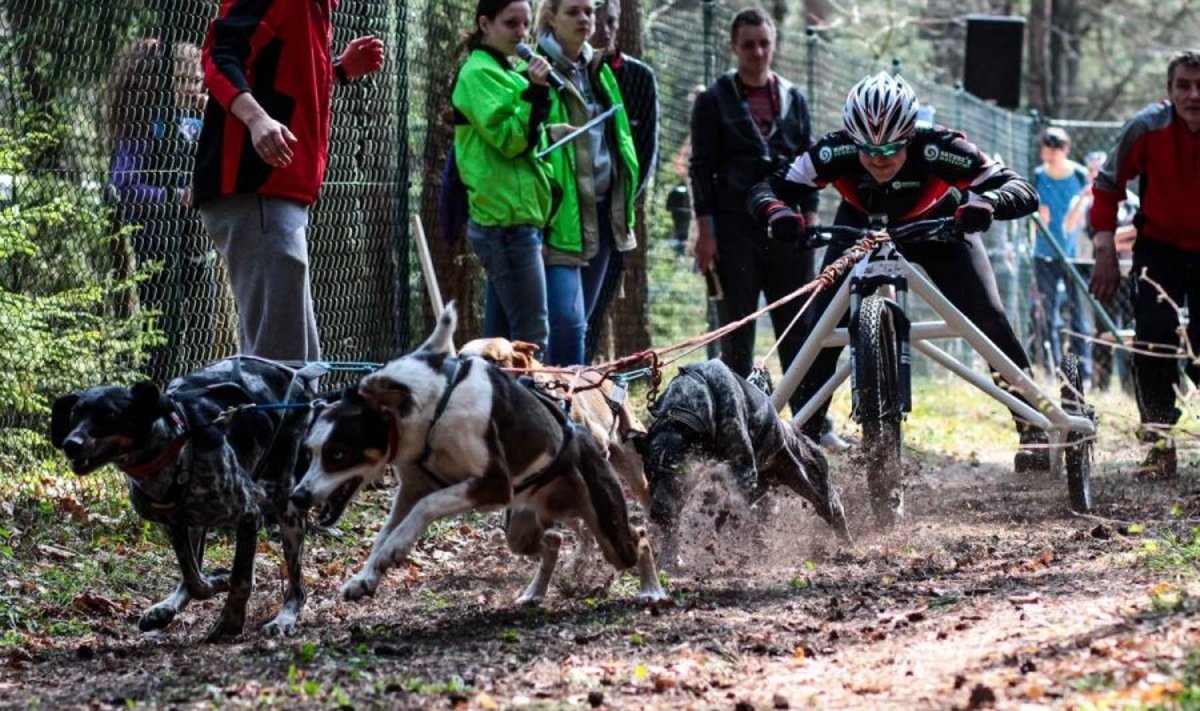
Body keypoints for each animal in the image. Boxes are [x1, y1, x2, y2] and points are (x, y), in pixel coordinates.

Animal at [50, 357, 319, 643]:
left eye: (110, 415)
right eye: (74, 414)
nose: (70, 443)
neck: (172, 445)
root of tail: (294, 373)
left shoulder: (249, 514)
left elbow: (241, 577)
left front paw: (231, 620)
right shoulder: (174, 523)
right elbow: (193, 578)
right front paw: (215, 583)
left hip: (288, 509)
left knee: (297, 587)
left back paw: (284, 617)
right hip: (197, 521)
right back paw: (167, 607)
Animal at [633, 357, 849, 540]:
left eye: (677, 473)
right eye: (650, 474)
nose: (659, 514)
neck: (681, 410)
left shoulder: (743, 473)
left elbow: (724, 504)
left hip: (814, 487)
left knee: (832, 509)